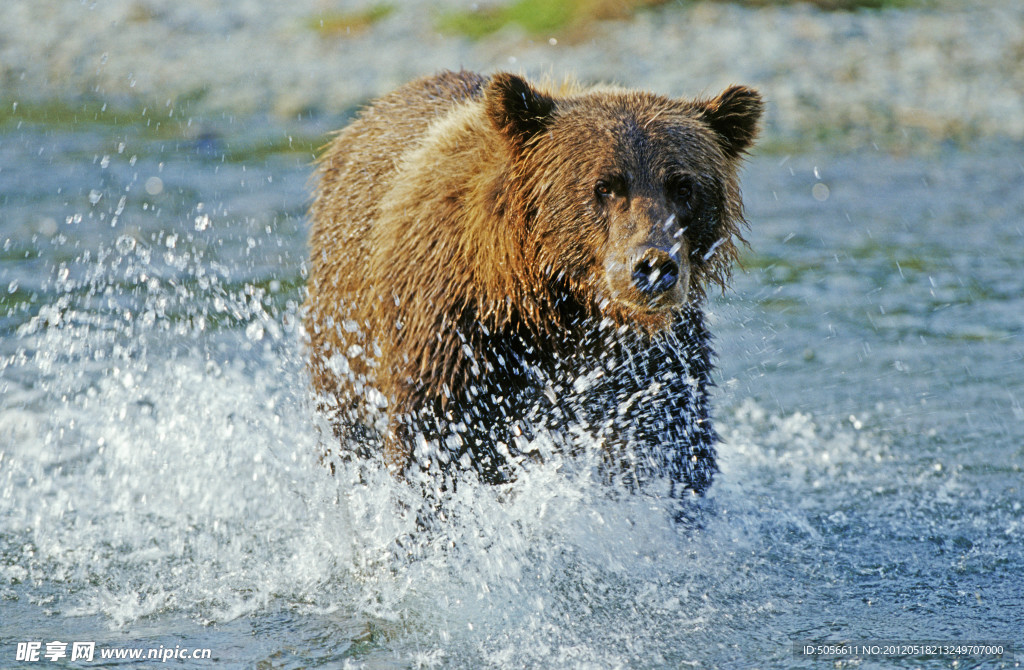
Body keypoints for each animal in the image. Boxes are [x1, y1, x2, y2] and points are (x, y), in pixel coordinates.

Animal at [303, 70, 761, 501]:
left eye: (684, 186)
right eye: (605, 185)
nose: (653, 266)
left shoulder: (650, 364)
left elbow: (669, 444)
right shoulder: (455, 335)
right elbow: (437, 445)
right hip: (346, 343)